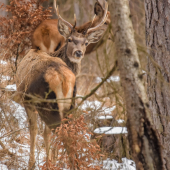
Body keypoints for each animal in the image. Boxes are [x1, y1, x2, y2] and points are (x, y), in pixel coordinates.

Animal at [14, 0, 107, 169]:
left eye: (86, 42)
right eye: (69, 39)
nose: (78, 52)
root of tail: (63, 78)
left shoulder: (27, 101)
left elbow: (34, 131)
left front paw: (34, 163)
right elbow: (45, 133)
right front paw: (51, 160)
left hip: (47, 104)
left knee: (60, 133)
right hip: (69, 104)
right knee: (68, 133)